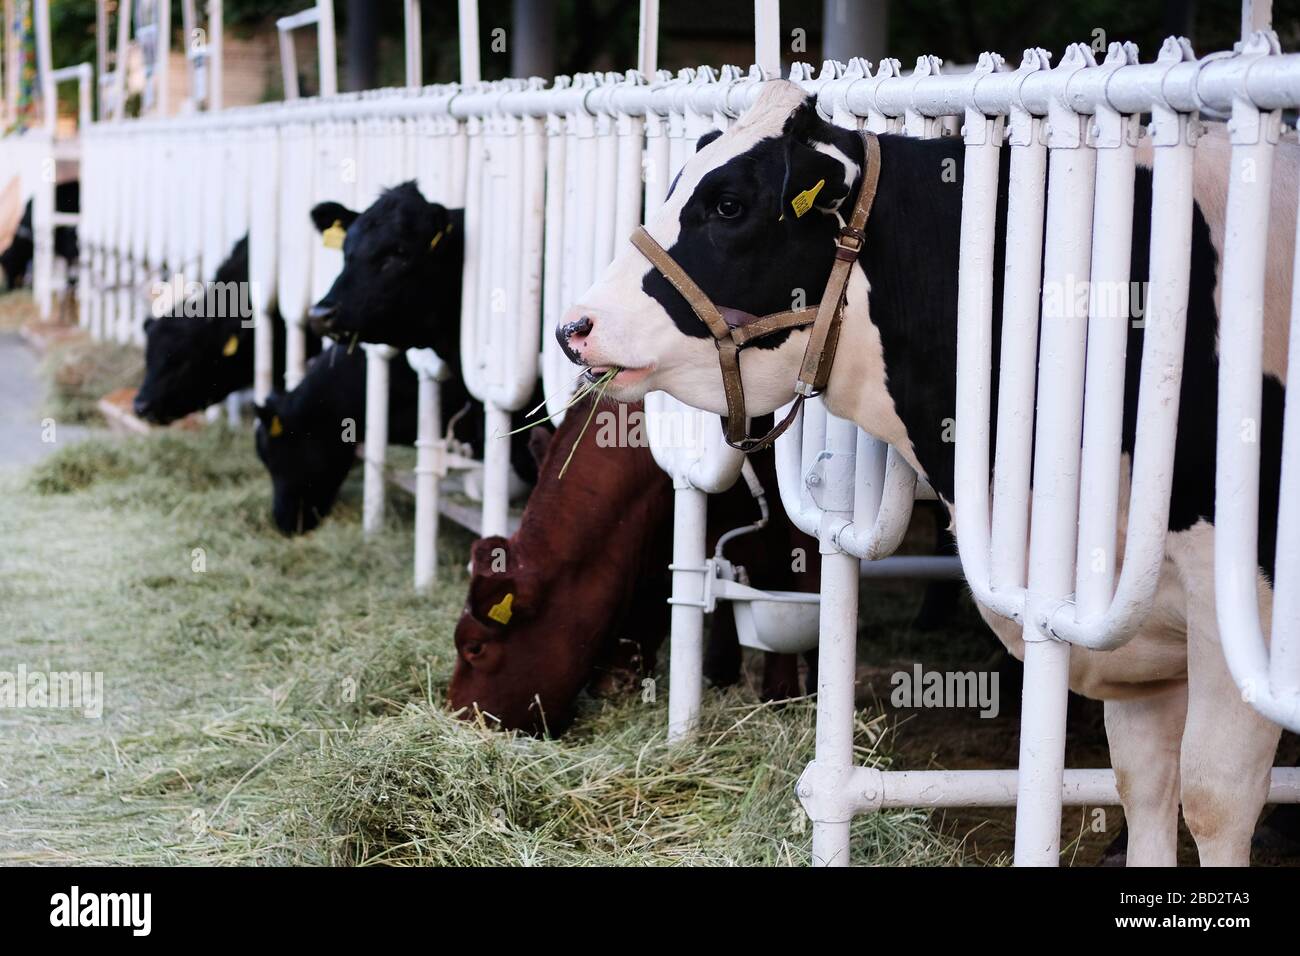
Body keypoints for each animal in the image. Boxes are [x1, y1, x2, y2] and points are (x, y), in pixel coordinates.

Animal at [557, 80, 1296, 866]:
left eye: (729, 204)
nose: (574, 327)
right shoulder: (1133, 630)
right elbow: (1145, 784)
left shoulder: (1238, 613)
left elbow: (1212, 799)